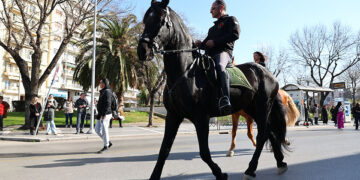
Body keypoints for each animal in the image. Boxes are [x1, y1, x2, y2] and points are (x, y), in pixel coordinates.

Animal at [136, 0, 288, 179]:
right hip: (252, 109)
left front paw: (220, 173)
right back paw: (280, 162)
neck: (185, 72)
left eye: (161, 21)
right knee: (270, 132)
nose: (142, 50)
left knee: (263, 134)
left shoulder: (201, 118)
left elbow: (204, 152)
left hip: (263, 107)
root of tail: (268, 73)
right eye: (146, 20)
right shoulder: (173, 116)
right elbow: (164, 150)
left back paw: (251, 169)